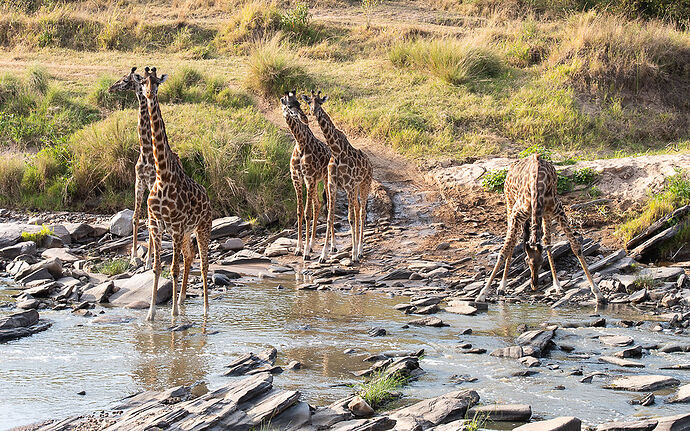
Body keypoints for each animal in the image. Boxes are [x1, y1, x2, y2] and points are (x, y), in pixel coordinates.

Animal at [140, 66, 212, 320]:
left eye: (157, 82)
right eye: (143, 81)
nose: (149, 93)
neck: (162, 176)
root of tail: (208, 197)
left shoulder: (177, 226)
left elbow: (173, 268)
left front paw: (172, 314)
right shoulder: (156, 224)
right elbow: (156, 267)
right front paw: (151, 314)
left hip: (202, 227)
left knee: (204, 264)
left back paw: (205, 309)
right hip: (187, 232)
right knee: (190, 257)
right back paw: (181, 300)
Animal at [278, 91, 334, 260]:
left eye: (299, 103)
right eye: (289, 105)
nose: (304, 118)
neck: (300, 144)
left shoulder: (308, 179)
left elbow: (307, 213)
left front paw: (306, 252)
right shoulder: (297, 180)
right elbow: (299, 212)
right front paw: (299, 248)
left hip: (325, 181)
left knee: (328, 207)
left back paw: (332, 246)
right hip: (316, 183)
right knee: (318, 204)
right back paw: (313, 244)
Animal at [302, 91, 374, 264]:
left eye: (320, 102)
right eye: (309, 102)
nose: (313, 111)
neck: (336, 151)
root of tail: (370, 163)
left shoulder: (348, 186)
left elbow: (350, 218)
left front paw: (353, 255)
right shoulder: (333, 185)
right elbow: (330, 218)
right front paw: (323, 255)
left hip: (365, 184)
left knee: (362, 213)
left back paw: (360, 251)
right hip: (356, 188)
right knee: (358, 209)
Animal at [472, 154, 600, 304]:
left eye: (542, 262)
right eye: (527, 261)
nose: (534, 285)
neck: (537, 187)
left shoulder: (558, 209)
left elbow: (576, 247)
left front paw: (598, 293)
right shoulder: (516, 214)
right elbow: (504, 251)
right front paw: (483, 293)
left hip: (545, 213)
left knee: (546, 240)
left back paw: (557, 285)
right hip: (510, 202)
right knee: (513, 241)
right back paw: (502, 286)